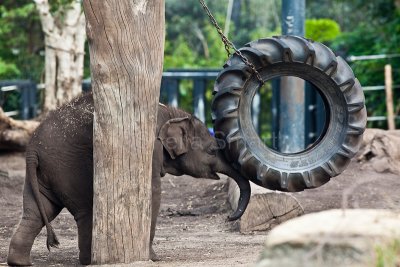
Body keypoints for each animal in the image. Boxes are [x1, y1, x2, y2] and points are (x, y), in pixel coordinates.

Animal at [7, 92, 250, 266]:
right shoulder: (151, 146)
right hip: (70, 166)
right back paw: (89, 261)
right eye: (212, 150)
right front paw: (152, 258)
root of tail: (32, 147)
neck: (170, 111)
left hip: (45, 173)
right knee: (86, 209)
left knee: (37, 212)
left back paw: (20, 263)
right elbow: (153, 191)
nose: (230, 216)